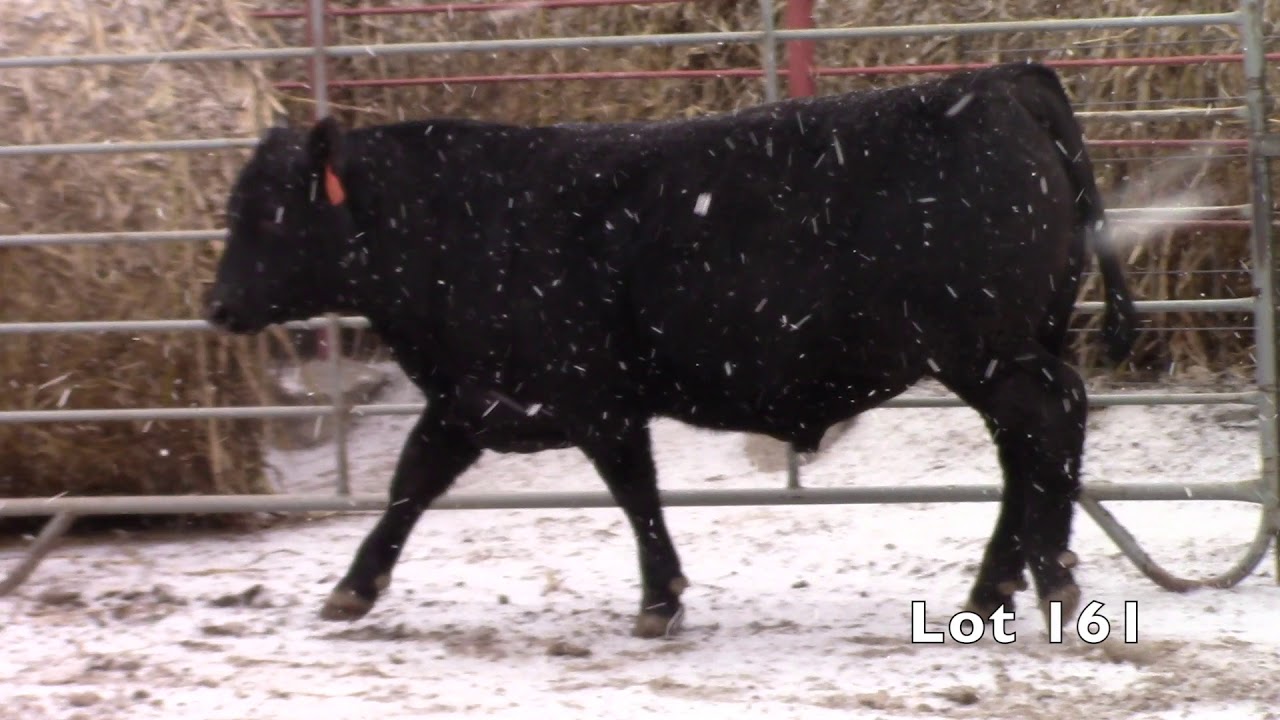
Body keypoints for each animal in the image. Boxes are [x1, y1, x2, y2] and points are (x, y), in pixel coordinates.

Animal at [205, 61, 1137, 639]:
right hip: (1003, 349)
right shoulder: (469, 400)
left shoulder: (595, 397)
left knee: (1051, 423)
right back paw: (999, 589)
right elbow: (410, 483)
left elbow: (633, 492)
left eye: (269, 214)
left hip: (986, 350)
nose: (216, 305)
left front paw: (660, 599)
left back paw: (1050, 579)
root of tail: (999, 81)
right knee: (1032, 446)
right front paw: (352, 588)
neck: (466, 225)